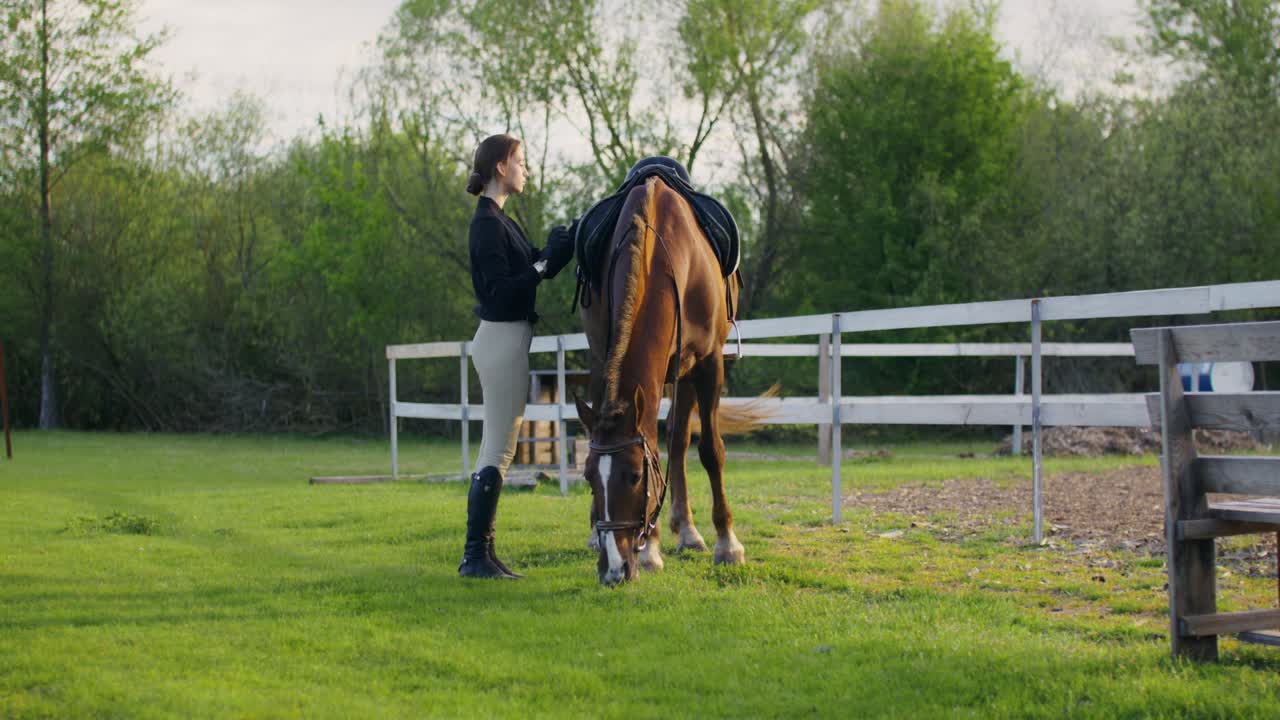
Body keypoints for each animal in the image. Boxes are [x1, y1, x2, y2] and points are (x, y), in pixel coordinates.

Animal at [573, 176, 758, 586]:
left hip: (685, 371)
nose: (613, 570)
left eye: (634, 476)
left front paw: (728, 544)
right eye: (589, 477)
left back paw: (688, 532)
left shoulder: (708, 363)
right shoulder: (606, 357)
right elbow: (656, 444)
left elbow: (710, 451)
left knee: (678, 437)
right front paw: (650, 551)